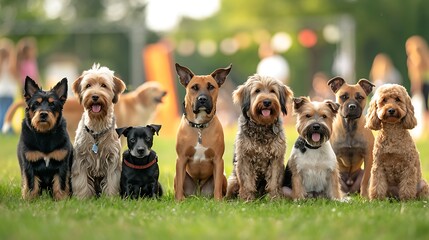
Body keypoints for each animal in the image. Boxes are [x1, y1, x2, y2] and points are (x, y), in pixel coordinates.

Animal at [70, 63, 126, 199]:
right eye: (88, 85)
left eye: (104, 85)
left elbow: (111, 181)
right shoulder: (81, 160)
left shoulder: (112, 160)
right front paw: (82, 198)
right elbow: (82, 181)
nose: (95, 96)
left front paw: (111, 198)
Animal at [173, 63, 231, 201]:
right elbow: (179, 184)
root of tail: (198, 194)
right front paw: (178, 201)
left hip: (223, 177)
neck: (199, 126)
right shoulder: (181, 159)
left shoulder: (218, 160)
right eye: (194, 87)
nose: (202, 99)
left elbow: (217, 186)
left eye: (211, 86)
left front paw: (218, 201)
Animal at [226, 73, 292, 201]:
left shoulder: (276, 158)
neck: (262, 126)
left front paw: (274, 199)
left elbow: (273, 182)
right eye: (257, 91)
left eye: (272, 91)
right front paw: (247, 199)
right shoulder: (244, 158)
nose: (267, 101)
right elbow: (247, 182)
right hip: (232, 180)